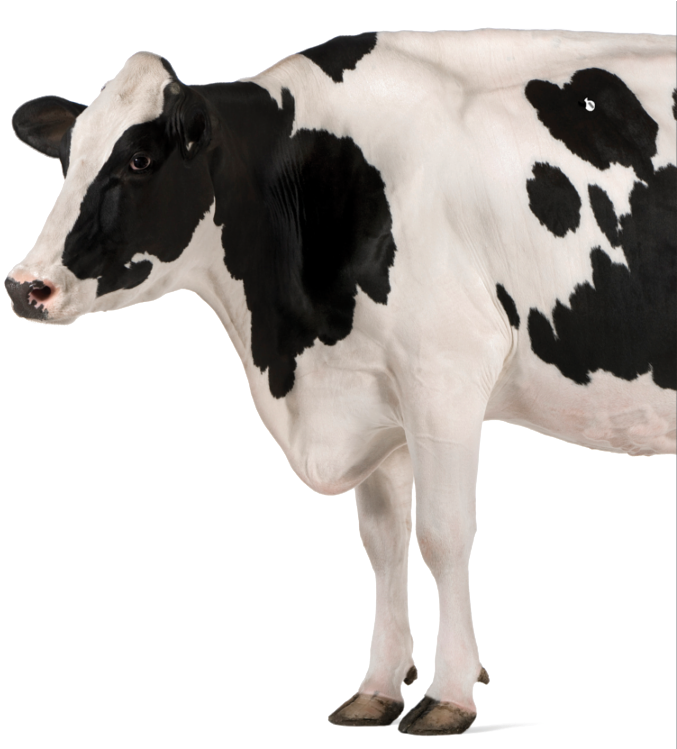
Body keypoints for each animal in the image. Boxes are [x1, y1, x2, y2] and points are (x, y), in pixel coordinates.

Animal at [7, 30, 676, 735]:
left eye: (139, 159)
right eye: (68, 159)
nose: (26, 286)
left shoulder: (444, 376)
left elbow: (443, 535)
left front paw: (448, 695)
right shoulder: (372, 393)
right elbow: (383, 544)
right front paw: (378, 686)